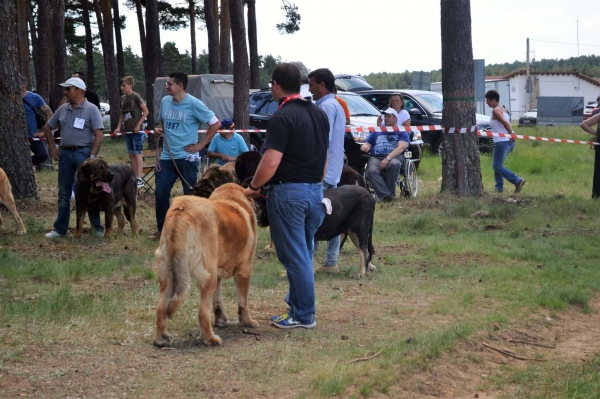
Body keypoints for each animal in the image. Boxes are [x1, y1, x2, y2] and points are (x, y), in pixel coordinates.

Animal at [154, 184, 256, 346]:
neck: (229, 198)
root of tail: (181, 211)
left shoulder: (218, 275)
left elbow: (218, 303)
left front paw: (221, 321)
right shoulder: (244, 271)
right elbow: (243, 302)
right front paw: (247, 322)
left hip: (168, 276)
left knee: (161, 308)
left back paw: (160, 339)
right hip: (208, 277)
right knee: (202, 312)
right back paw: (210, 339)